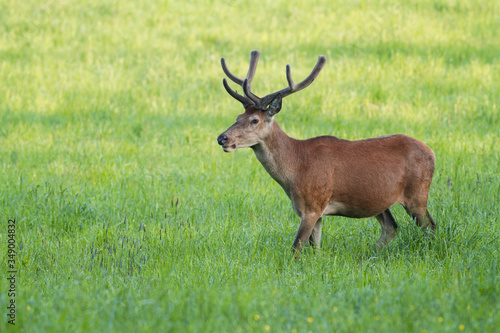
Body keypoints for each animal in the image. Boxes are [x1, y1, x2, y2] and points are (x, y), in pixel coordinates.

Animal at [217, 50, 436, 256]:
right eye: (238, 116)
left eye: (254, 120)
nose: (222, 138)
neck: (295, 170)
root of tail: (432, 153)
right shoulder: (312, 211)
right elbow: (315, 249)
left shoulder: (313, 206)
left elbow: (295, 250)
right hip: (378, 200)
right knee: (391, 227)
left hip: (417, 193)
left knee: (429, 226)